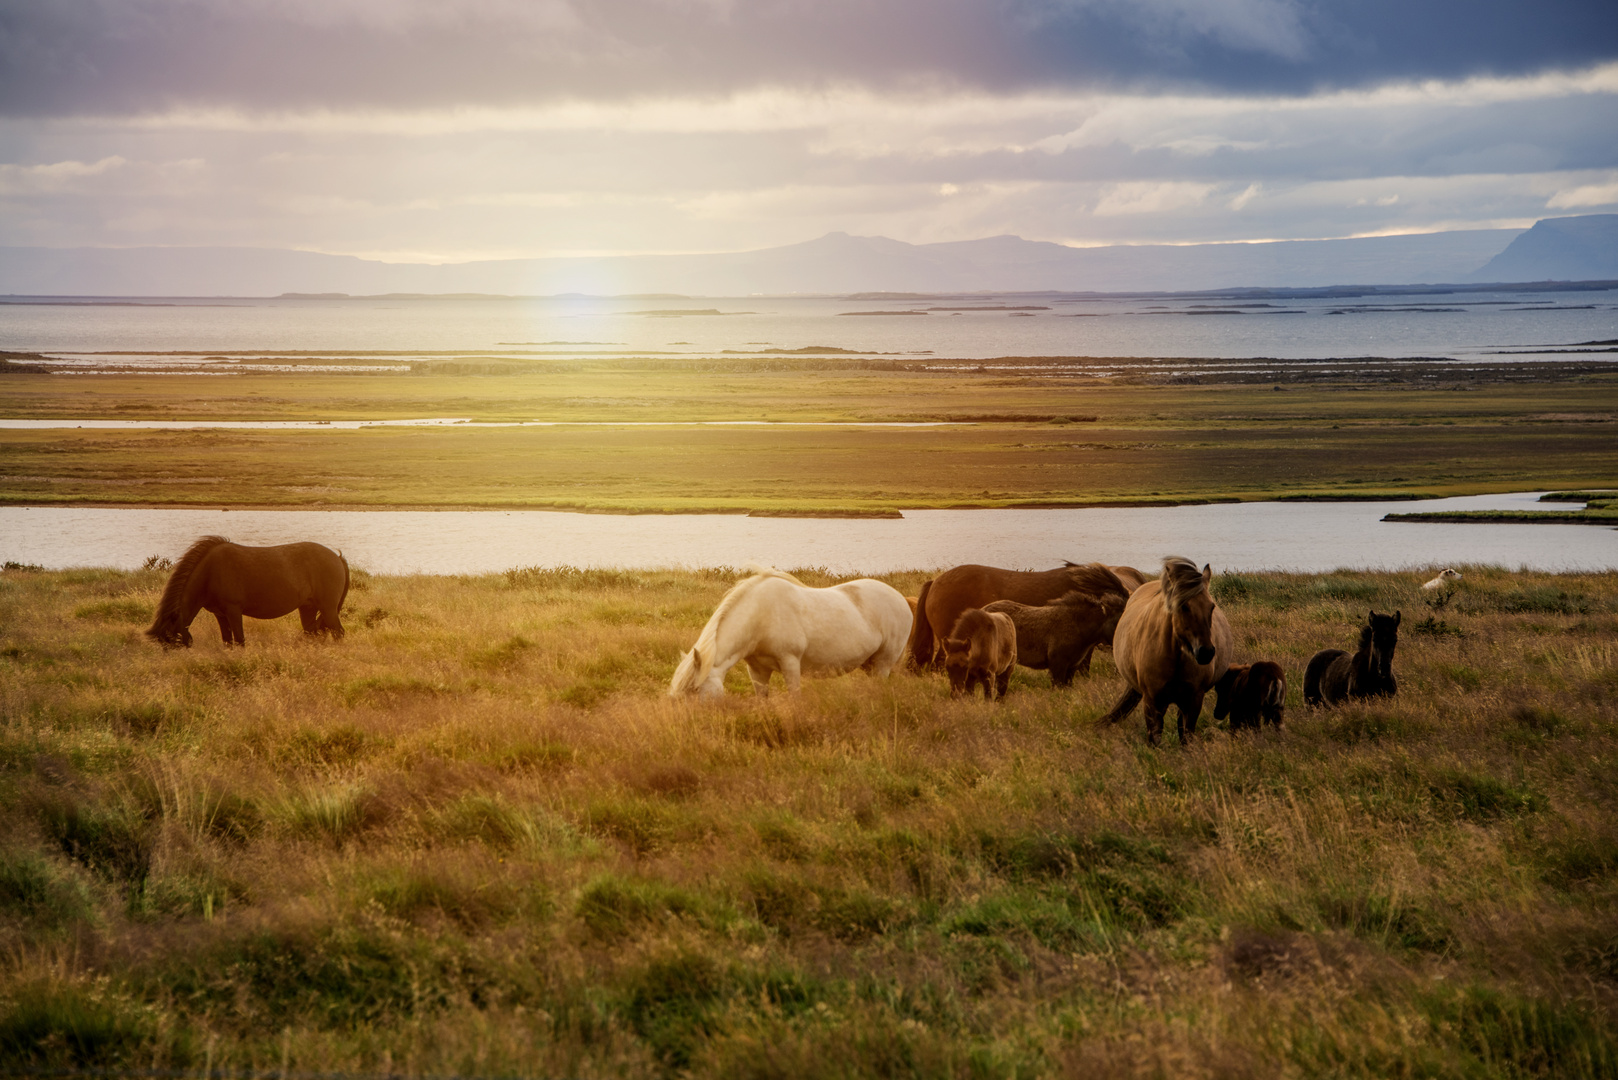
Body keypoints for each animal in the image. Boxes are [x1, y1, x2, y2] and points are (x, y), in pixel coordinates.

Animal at [146, 537, 351, 647]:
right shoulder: (221, 615)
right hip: (308, 608)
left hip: (328, 608)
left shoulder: (234, 611)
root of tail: (336, 557)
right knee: (312, 633)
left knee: (338, 633)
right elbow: (228, 642)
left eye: (172, 640)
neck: (210, 572)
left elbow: (240, 640)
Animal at [669, 566, 919, 702]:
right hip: (870, 664)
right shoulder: (757, 670)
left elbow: (795, 697)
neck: (761, 615)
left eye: (695, 689)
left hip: (883, 664)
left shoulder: (790, 663)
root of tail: (902, 599)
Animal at [1106, 557, 1229, 744]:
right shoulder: (1152, 701)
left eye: (1212, 607)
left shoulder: (1194, 699)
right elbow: (1154, 738)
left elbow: (1187, 736)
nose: (1205, 652)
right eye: (1183, 606)